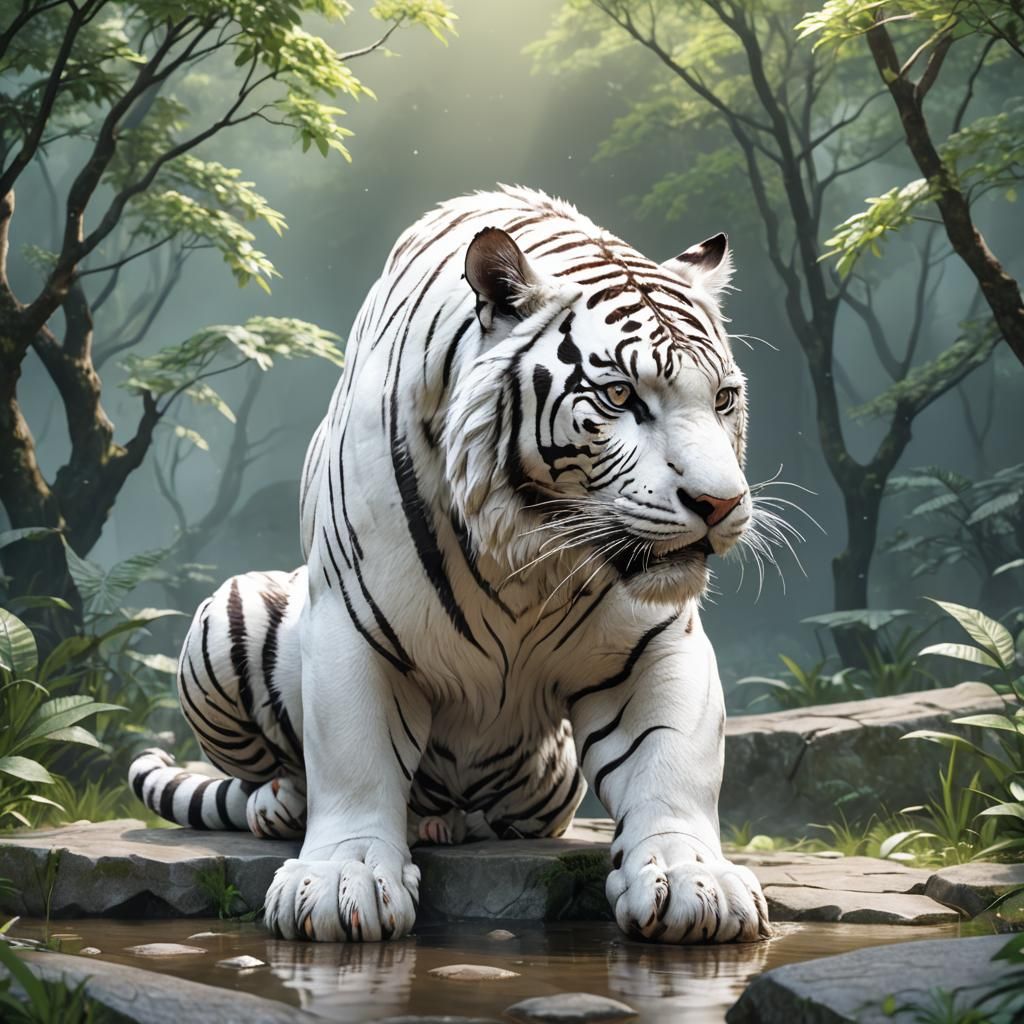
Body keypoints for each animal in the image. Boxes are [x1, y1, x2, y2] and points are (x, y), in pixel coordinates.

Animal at [129, 185, 772, 945]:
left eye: (723, 399)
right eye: (620, 397)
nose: (719, 502)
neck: (528, 549)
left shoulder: (656, 642)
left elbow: (669, 760)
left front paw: (694, 882)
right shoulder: (352, 624)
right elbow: (354, 757)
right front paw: (341, 882)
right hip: (226, 615)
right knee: (273, 774)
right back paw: (284, 807)